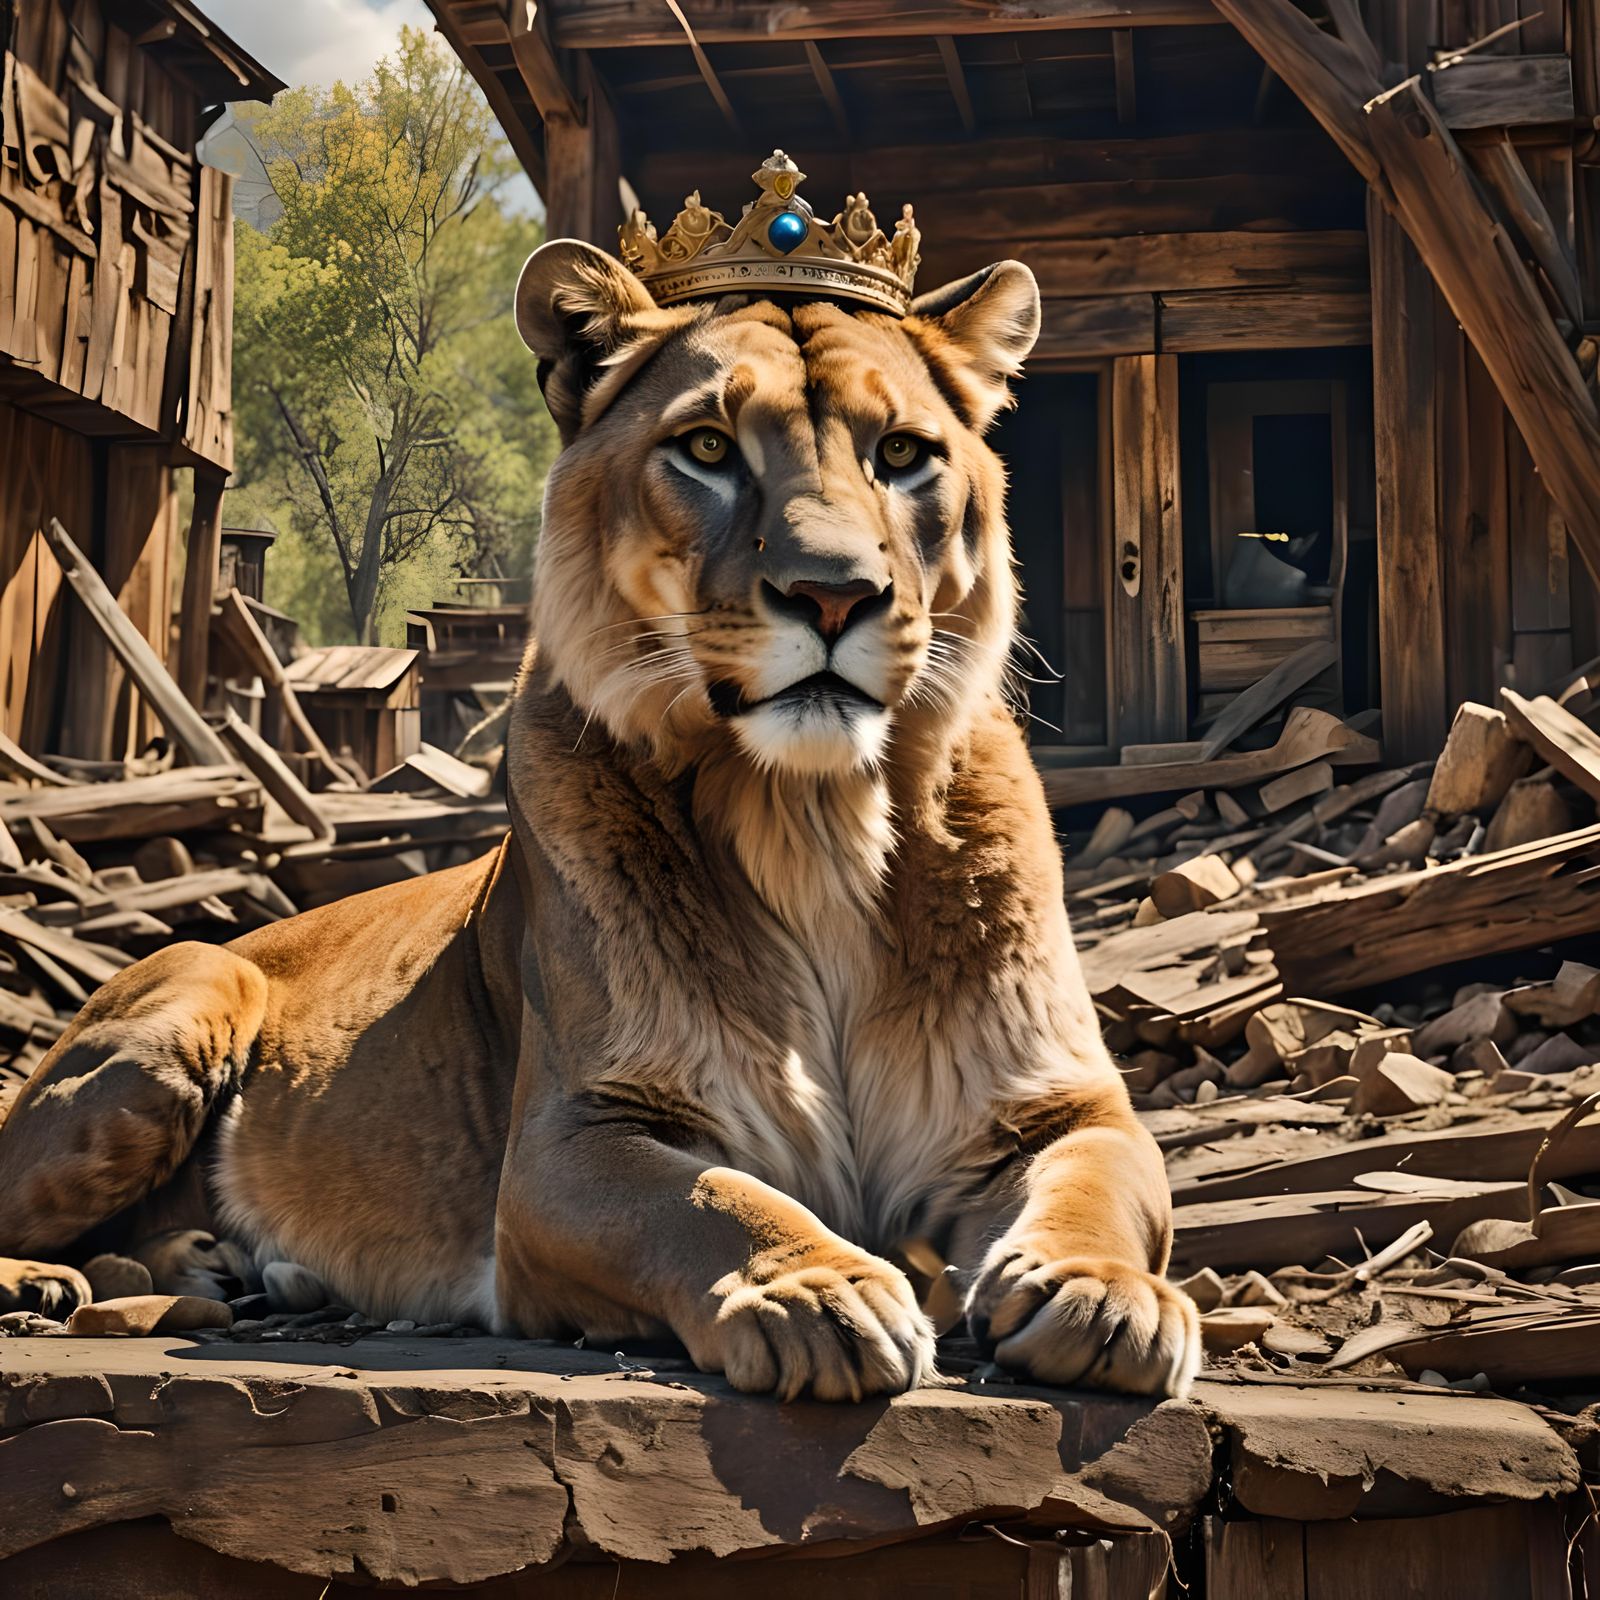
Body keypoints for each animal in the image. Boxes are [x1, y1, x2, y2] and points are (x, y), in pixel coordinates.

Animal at [0, 238, 1199, 1399]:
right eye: (708, 448)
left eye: (903, 454)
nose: (832, 592)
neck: (811, 817)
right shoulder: (570, 1143)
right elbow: (710, 1201)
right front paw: (815, 1290)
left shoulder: (1054, 1106)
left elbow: (1102, 1184)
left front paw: (1105, 1297)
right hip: (186, 1009)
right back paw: (73, 1282)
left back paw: (224, 1266)